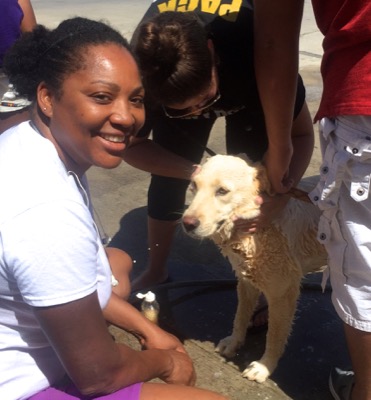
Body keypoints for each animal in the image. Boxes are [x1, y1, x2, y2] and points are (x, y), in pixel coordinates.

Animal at [182, 155, 326, 382]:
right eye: (194, 185)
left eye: (222, 191)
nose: (187, 223)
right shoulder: (245, 281)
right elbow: (240, 317)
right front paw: (234, 343)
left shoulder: (282, 294)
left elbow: (274, 336)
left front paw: (264, 367)